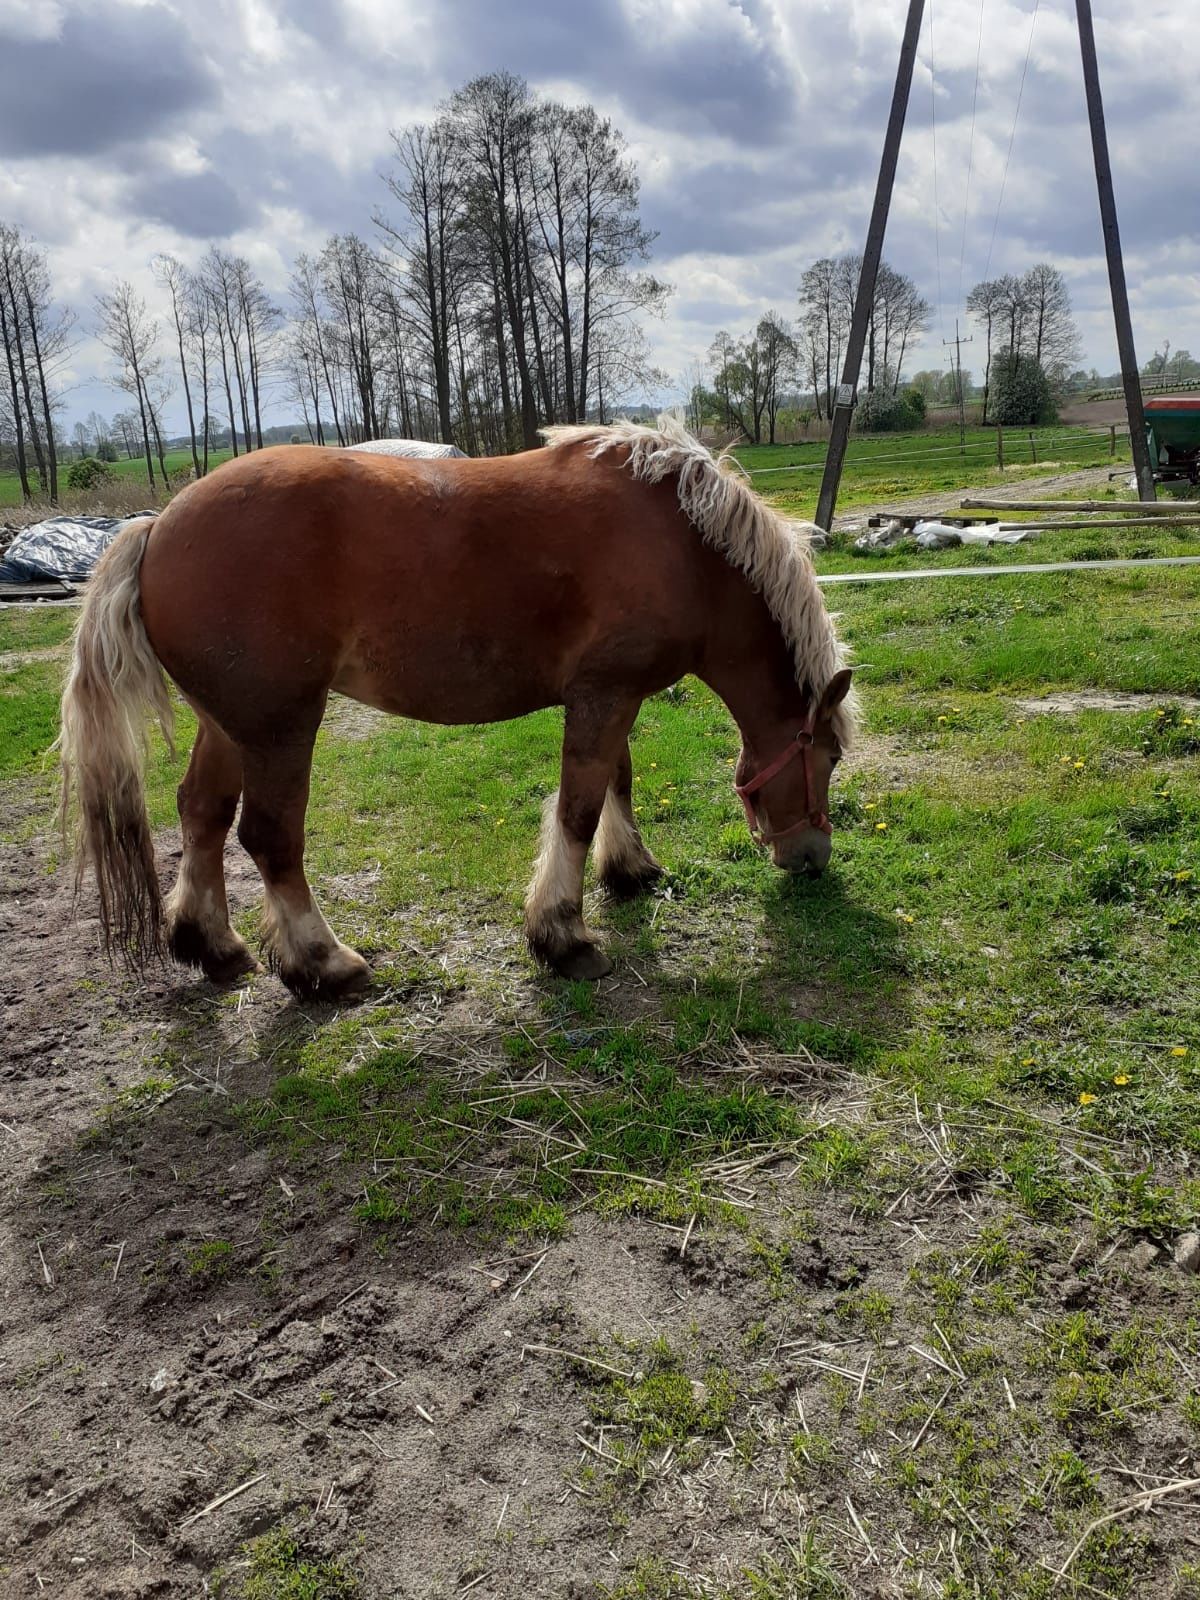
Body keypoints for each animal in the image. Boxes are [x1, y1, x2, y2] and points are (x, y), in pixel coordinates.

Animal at [61, 419, 857, 1004]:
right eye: (829, 756)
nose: (811, 858)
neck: (685, 547)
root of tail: (157, 526)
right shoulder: (604, 694)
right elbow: (578, 808)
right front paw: (564, 936)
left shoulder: (612, 694)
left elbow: (615, 785)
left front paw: (628, 869)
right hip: (280, 728)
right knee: (269, 837)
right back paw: (324, 964)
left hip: (229, 726)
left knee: (201, 813)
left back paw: (212, 946)